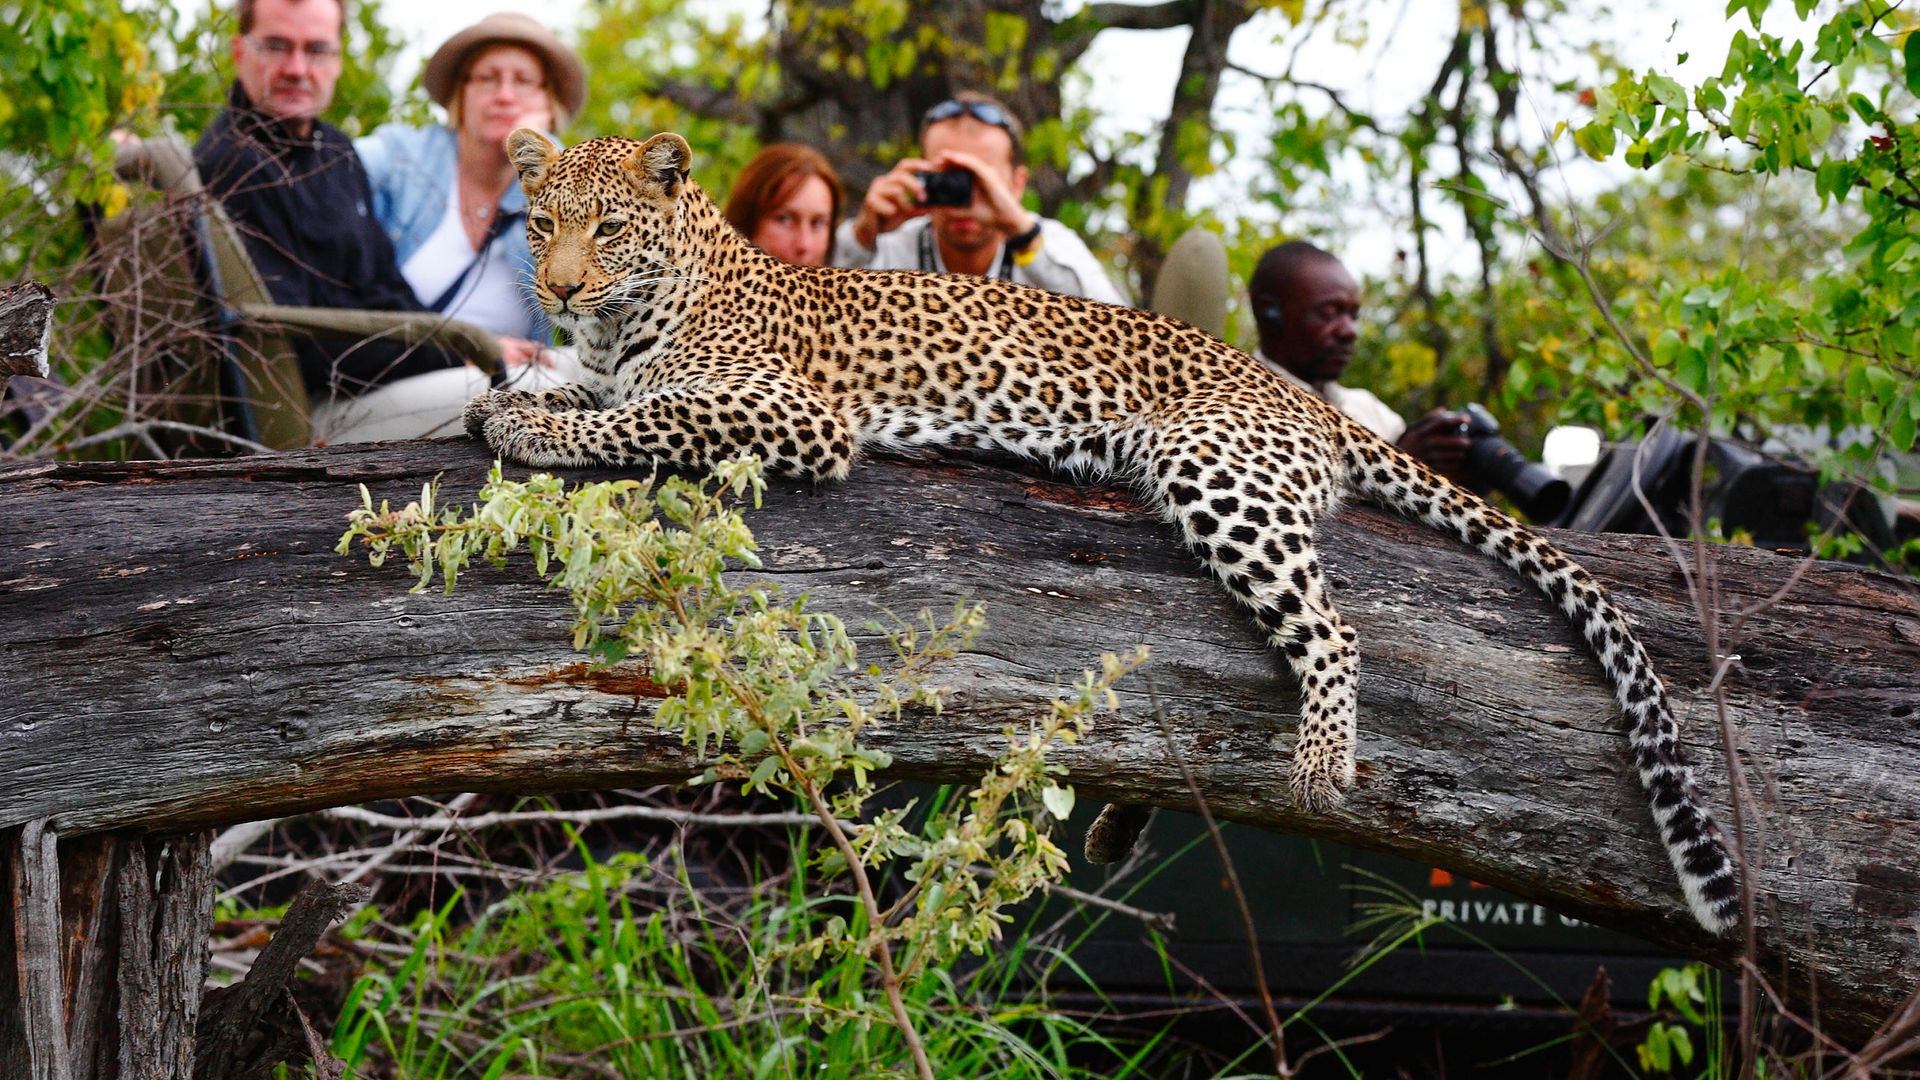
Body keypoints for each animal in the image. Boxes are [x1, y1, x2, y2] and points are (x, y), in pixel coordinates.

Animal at [460, 130, 1743, 930]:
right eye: (544, 224)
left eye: (610, 230)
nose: (560, 289)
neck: (632, 316)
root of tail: (1306, 396)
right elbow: (593, 394)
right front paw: (513, 394)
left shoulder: (794, 412)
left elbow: (645, 416)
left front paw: (533, 428)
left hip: (1214, 469)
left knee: (1332, 630)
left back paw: (1320, 760)